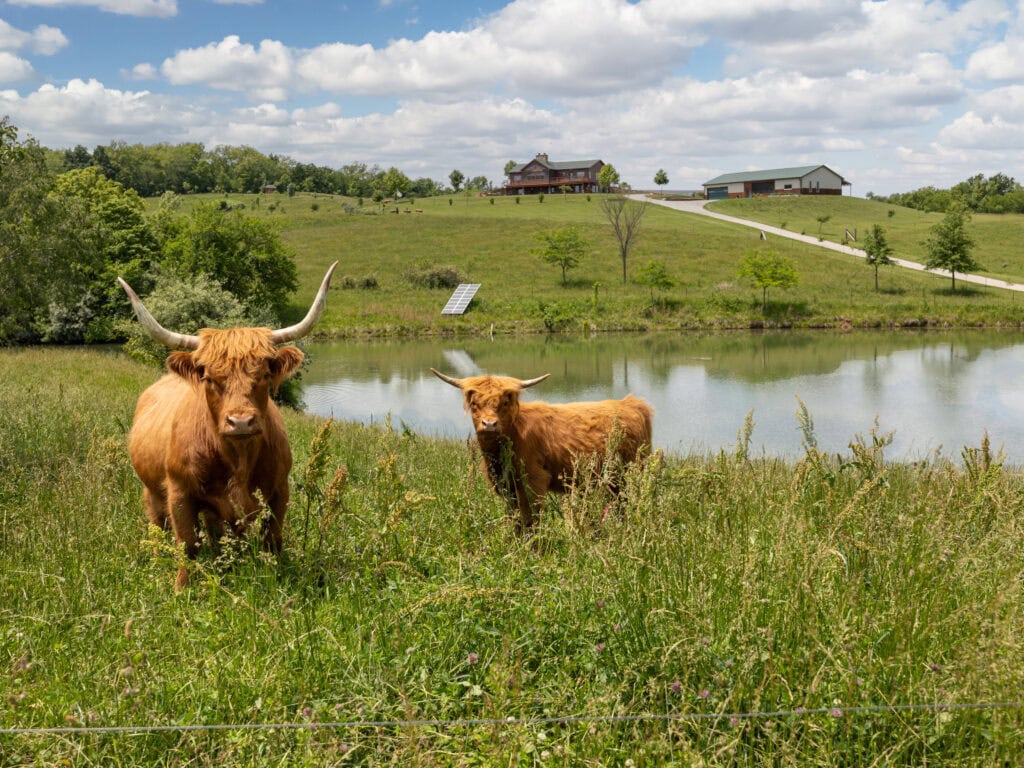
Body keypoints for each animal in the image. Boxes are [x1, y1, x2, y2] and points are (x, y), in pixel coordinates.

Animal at [120, 262, 337, 590]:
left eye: (264, 374)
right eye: (209, 377)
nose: (241, 421)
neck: (238, 459)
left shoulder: (278, 491)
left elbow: (272, 539)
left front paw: (274, 576)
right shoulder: (179, 493)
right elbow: (186, 544)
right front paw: (181, 589)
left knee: (216, 531)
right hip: (152, 491)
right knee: (158, 526)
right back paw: (159, 563)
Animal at [430, 369, 653, 532]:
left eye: (504, 402)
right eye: (475, 403)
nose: (489, 424)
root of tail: (630, 403)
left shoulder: (535, 481)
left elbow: (532, 519)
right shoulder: (506, 485)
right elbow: (515, 518)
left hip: (631, 470)